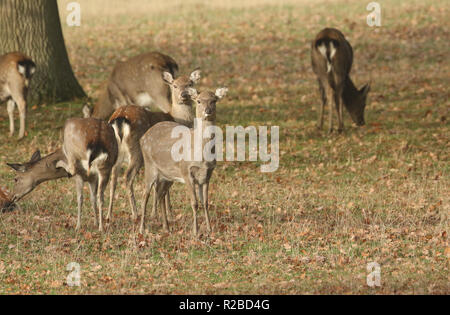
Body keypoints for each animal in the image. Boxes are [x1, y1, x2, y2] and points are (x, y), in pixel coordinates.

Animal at [106, 69, 200, 222]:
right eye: (174, 85)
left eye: (190, 83)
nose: (184, 95)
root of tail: (119, 118)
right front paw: (165, 214)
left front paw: (160, 213)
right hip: (136, 151)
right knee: (127, 177)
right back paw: (135, 214)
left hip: (116, 153)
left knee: (113, 177)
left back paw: (108, 216)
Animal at [138, 87, 227, 236]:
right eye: (198, 101)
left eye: (214, 100)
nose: (207, 110)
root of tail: (143, 137)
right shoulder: (186, 171)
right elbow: (194, 203)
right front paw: (196, 232)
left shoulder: (207, 174)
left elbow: (205, 202)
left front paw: (209, 229)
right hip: (150, 166)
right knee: (145, 195)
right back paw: (141, 229)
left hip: (167, 176)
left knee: (160, 194)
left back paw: (166, 227)